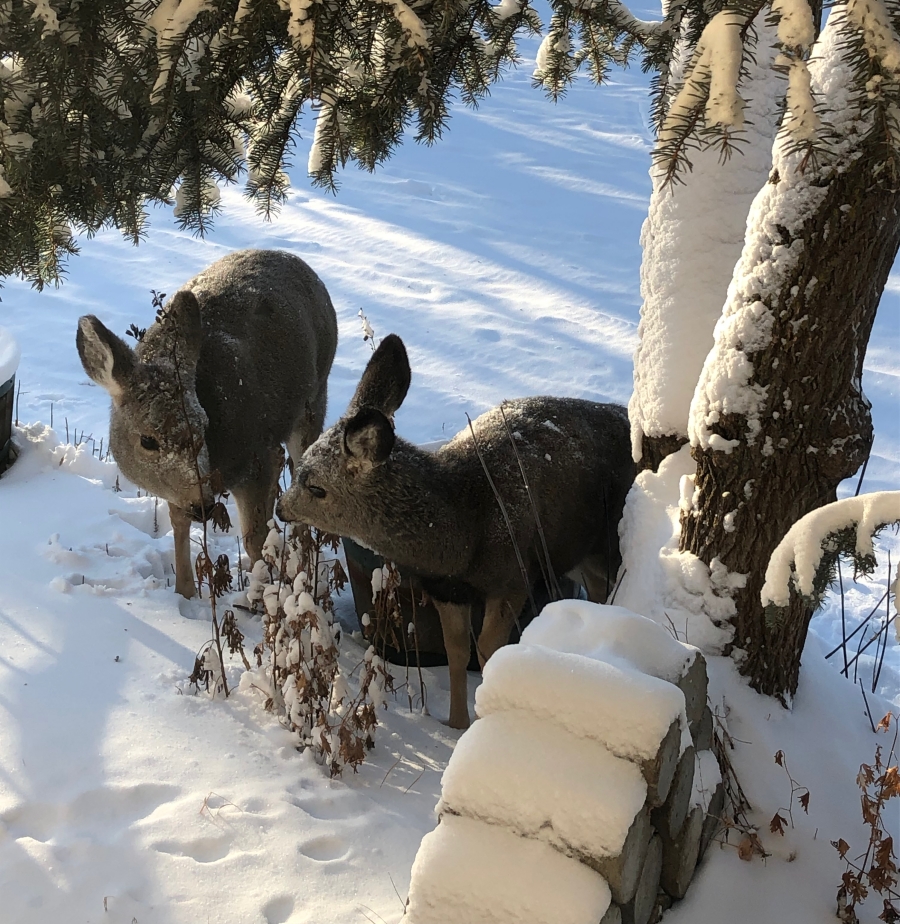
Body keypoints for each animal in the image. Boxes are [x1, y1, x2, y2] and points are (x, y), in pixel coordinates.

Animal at [75, 249, 338, 604]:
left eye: (204, 425)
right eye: (148, 440)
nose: (203, 504)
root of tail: (300, 262)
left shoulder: (253, 457)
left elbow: (254, 537)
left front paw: (264, 596)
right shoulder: (178, 488)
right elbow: (178, 523)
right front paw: (184, 593)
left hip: (315, 395)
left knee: (299, 469)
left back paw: (304, 563)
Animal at [278, 334, 636, 728]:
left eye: (316, 487)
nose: (281, 508)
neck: (463, 530)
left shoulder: (513, 578)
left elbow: (489, 651)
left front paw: (477, 724)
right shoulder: (446, 589)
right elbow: (456, 651)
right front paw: (455, 722)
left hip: (608, 542)